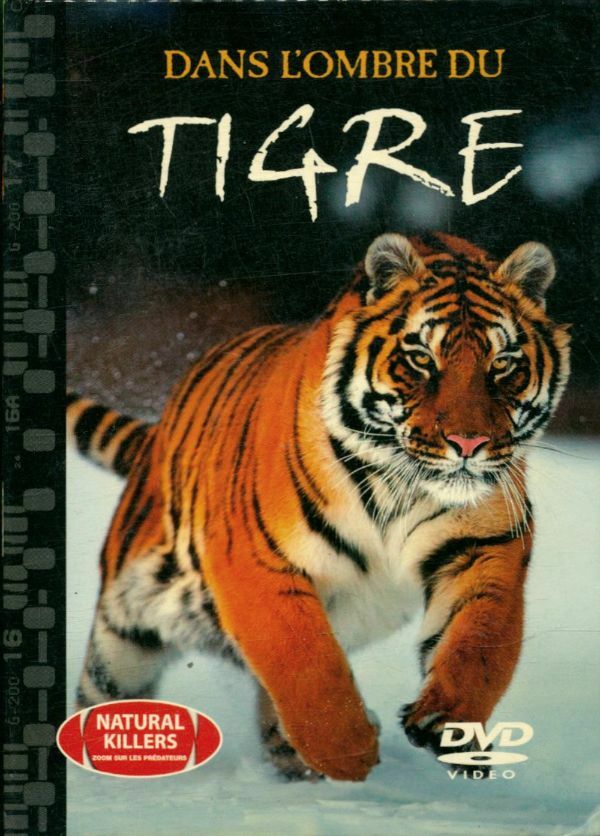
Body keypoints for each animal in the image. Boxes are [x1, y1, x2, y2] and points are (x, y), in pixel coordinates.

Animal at [68, 232, 570, 782]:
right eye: (421, 359)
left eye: (502, 363)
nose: (468, 442)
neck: (402, 483)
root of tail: (154, 439)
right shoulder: (253, 560)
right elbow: (306, 662)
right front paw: (351, 750)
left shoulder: (485, 546)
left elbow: (479, 644)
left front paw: (447, 723)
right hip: (122, 641)